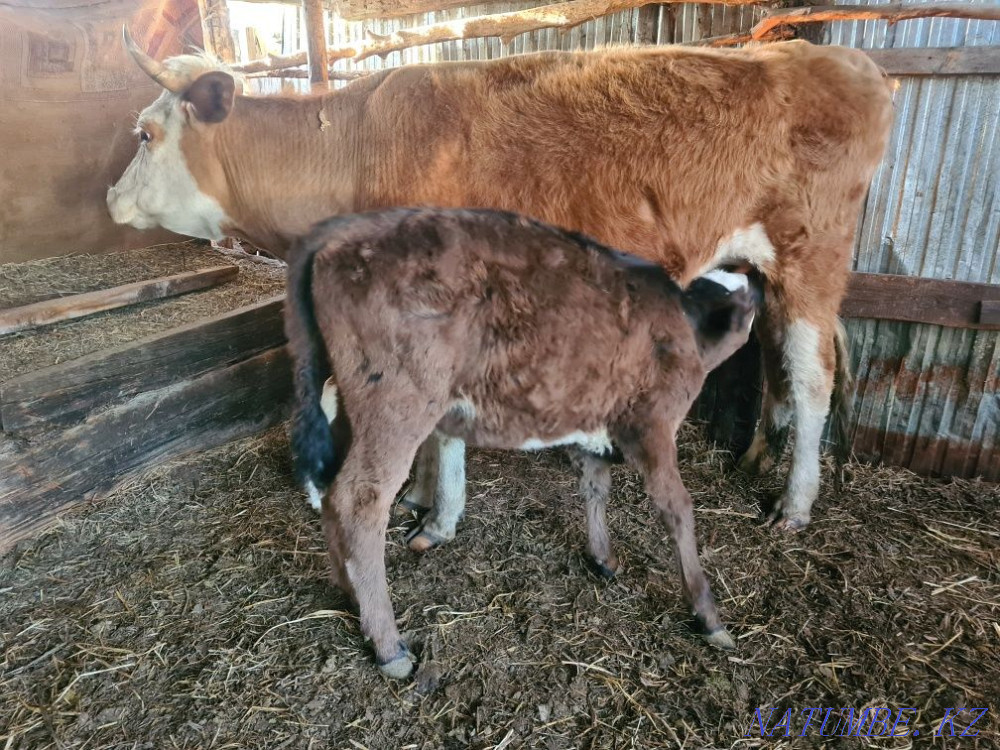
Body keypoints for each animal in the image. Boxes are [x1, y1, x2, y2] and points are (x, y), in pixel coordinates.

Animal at [107, 32, 894, 535]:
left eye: (145, 133)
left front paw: (438, 516)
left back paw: (794, 504)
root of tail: (837, 57)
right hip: (764, 267)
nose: (109, 198)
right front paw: (421, 498)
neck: (353, 144)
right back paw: (757, 456)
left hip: (813, 255)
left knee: (813, 374)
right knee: (774, 360)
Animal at [285, 207, 758, 677]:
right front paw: (707, 613)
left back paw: (352, 596)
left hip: (348, 407)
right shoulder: (653, 424)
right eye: (752, 300)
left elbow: (595, 487)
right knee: (358, 501)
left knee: (332, 496)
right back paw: (389, 646)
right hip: (396, 406)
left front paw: (602, 557)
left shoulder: (594, 422)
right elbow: (676, 508)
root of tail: (345, 229)